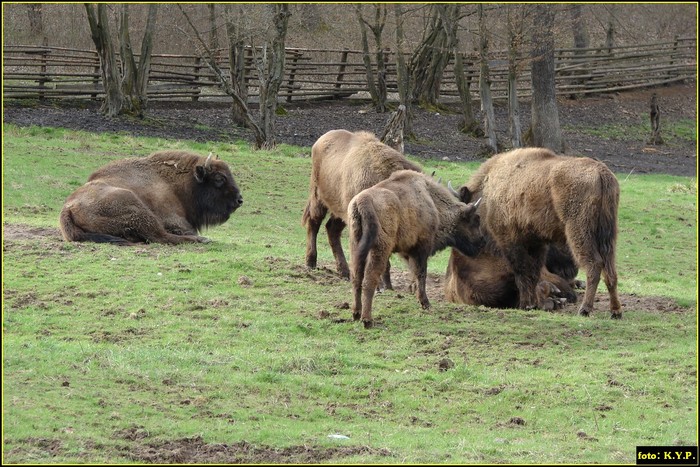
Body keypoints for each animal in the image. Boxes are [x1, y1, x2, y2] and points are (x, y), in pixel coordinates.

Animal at [58, 151, 243, 247]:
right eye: (219, 178)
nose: (239, 200)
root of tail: (67, 208)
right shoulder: (174, 220)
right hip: (138, 209)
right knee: (160, 236)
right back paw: (202, 240)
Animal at [300, 130, 422, 288]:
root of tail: (321, 140)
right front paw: (380, 284)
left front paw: (387, 284)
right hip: (318, 197)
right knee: (314, 223)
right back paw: (311, 262)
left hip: (341, 211)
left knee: (332, 229)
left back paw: (344, 272)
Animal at [348, 170, 484, 328]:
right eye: (475, 220)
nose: (482, 241)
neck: (432, 203)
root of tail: (363, 201)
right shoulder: (421, 249)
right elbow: (421, 274)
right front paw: (425, 303)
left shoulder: (408, 252)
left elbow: (414, 272)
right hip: (379, 249)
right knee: (369, 279)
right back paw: (367, 320)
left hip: (356, 246)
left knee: (356, 278)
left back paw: (356, 314)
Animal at [456, 148, 620, 320]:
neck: (489, 188)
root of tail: (601, 172)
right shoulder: (536, 242)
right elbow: (533, 272)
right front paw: (533, 303)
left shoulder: (510, 240)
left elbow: (522, 271)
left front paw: (526, 304)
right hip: (607, 236)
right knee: (610, 270)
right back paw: (615, 311)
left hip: (579, 232)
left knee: (594, 264)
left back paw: (585, 309)